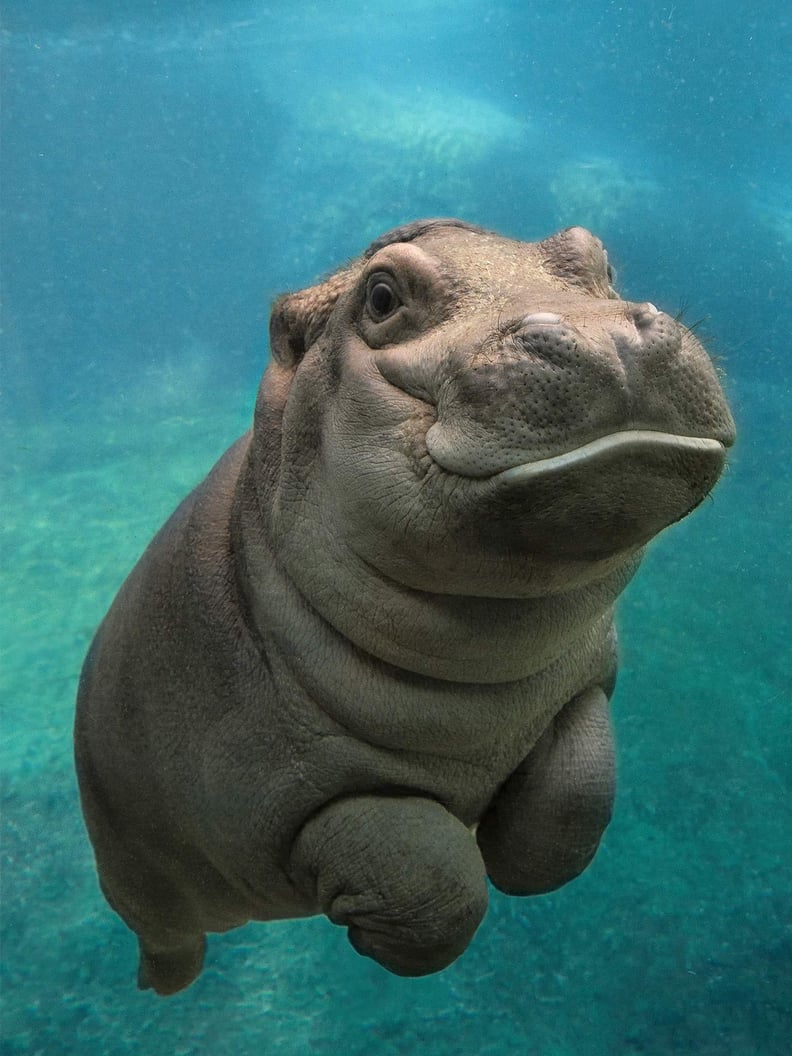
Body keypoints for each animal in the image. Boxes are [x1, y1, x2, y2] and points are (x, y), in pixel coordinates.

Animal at [76, 218, 739, 992]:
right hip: (136, 873)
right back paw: (161, 984)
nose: (608, 334)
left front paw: (516, 856)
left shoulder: (582, 686)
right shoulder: (279, 796)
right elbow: (432, 885)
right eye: (382, 297)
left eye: (597, 258)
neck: (483, 662)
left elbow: (576, 801)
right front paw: (383, 931)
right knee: (167, 933)